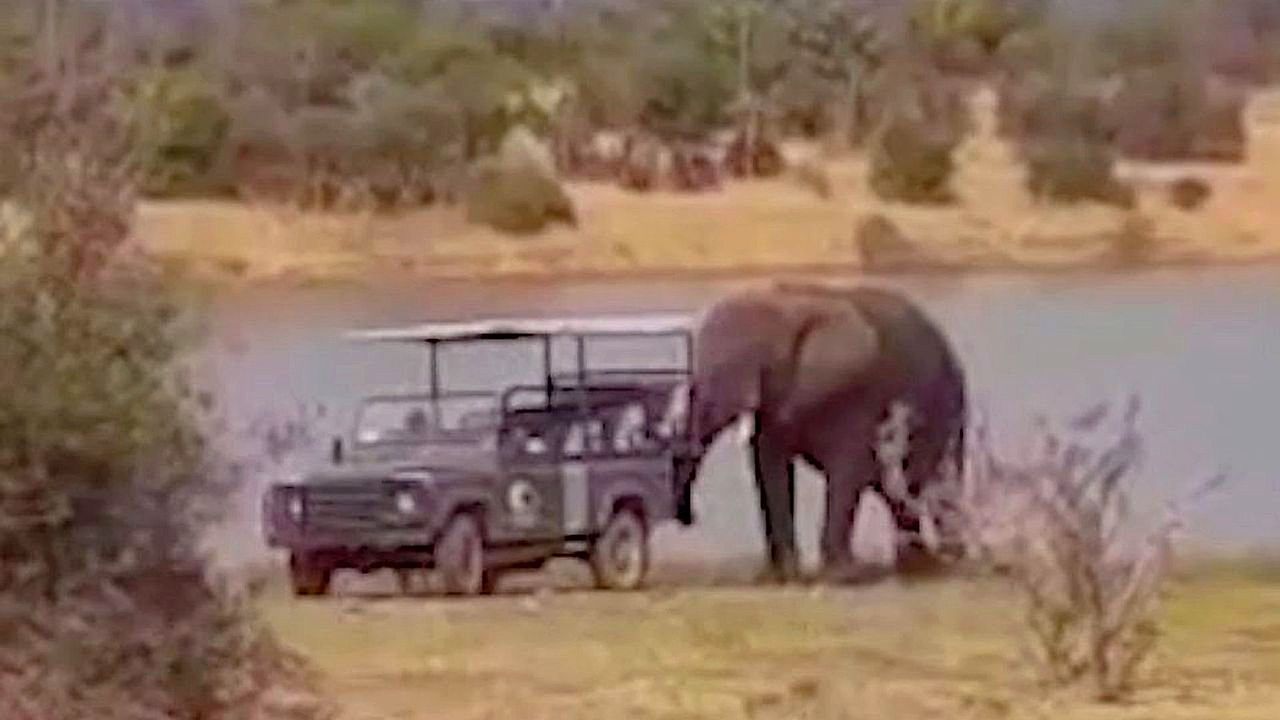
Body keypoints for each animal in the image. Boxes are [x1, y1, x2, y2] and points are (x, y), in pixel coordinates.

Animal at [687, 280, 967, 583]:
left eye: (754, 361)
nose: (692, 516)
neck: (789, 302)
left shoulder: (855, 391)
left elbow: (847, 468)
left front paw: (841, 575)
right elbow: (770, 467)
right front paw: (785, 574)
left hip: (943, 407)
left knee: (931, 482)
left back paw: (947, 564)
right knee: (896, 490)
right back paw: (916, 566)